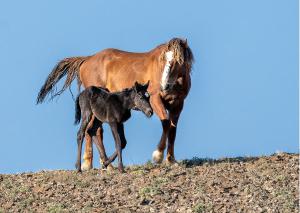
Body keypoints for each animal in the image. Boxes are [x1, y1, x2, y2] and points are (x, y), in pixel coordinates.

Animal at [37, 37, 195, 169]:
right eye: (164, 60)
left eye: (178, 60)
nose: (164, 85)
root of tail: (87, 60)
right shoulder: (155, 100)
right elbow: (166, 123)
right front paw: (158, 155)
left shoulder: (178, 105)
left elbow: (173, 129)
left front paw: (171, 159)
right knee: (93, 130)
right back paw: (96, 164)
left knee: (93, 130)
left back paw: (99, 163)